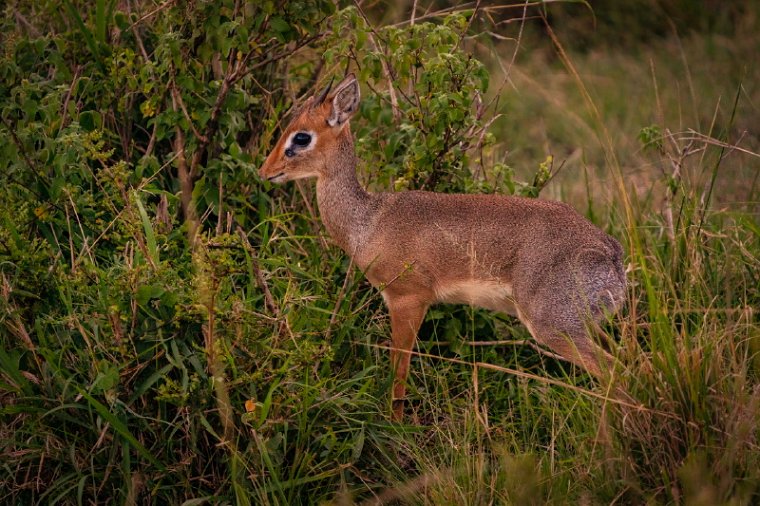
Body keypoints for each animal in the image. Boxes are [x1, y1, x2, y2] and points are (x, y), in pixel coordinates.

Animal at [258, 72, 628, 420]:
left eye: (301, 136)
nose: (265, 171)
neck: (369, 220)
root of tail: (611, 252)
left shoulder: (408, 299)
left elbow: (399, 369)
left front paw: (395, 424)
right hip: (586, 325)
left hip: (554, 325)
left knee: (614, 373)